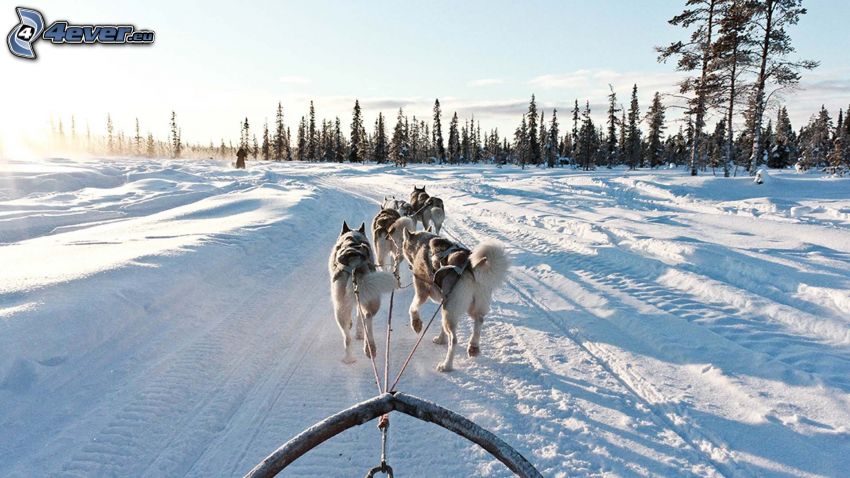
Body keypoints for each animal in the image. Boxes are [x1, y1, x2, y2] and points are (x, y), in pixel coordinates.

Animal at [326, 222, 396, 364]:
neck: (352, 237)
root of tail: (354, 263)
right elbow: (360, 316)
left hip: (340, 309)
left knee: (347, 336)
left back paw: (350, 358)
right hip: (371, 298)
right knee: (367, 317)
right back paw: (370, 348)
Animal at [400, 230, 506, 372]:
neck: (422, 244)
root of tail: (470, 268)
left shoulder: (422, 292)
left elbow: (413, 308)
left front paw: (416, 324)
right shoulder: (443, 301)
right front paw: (441, 339)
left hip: (449, 312)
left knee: (454, 340)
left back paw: (446, 365)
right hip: (467, 308)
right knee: (479, 322)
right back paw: (473, 346)